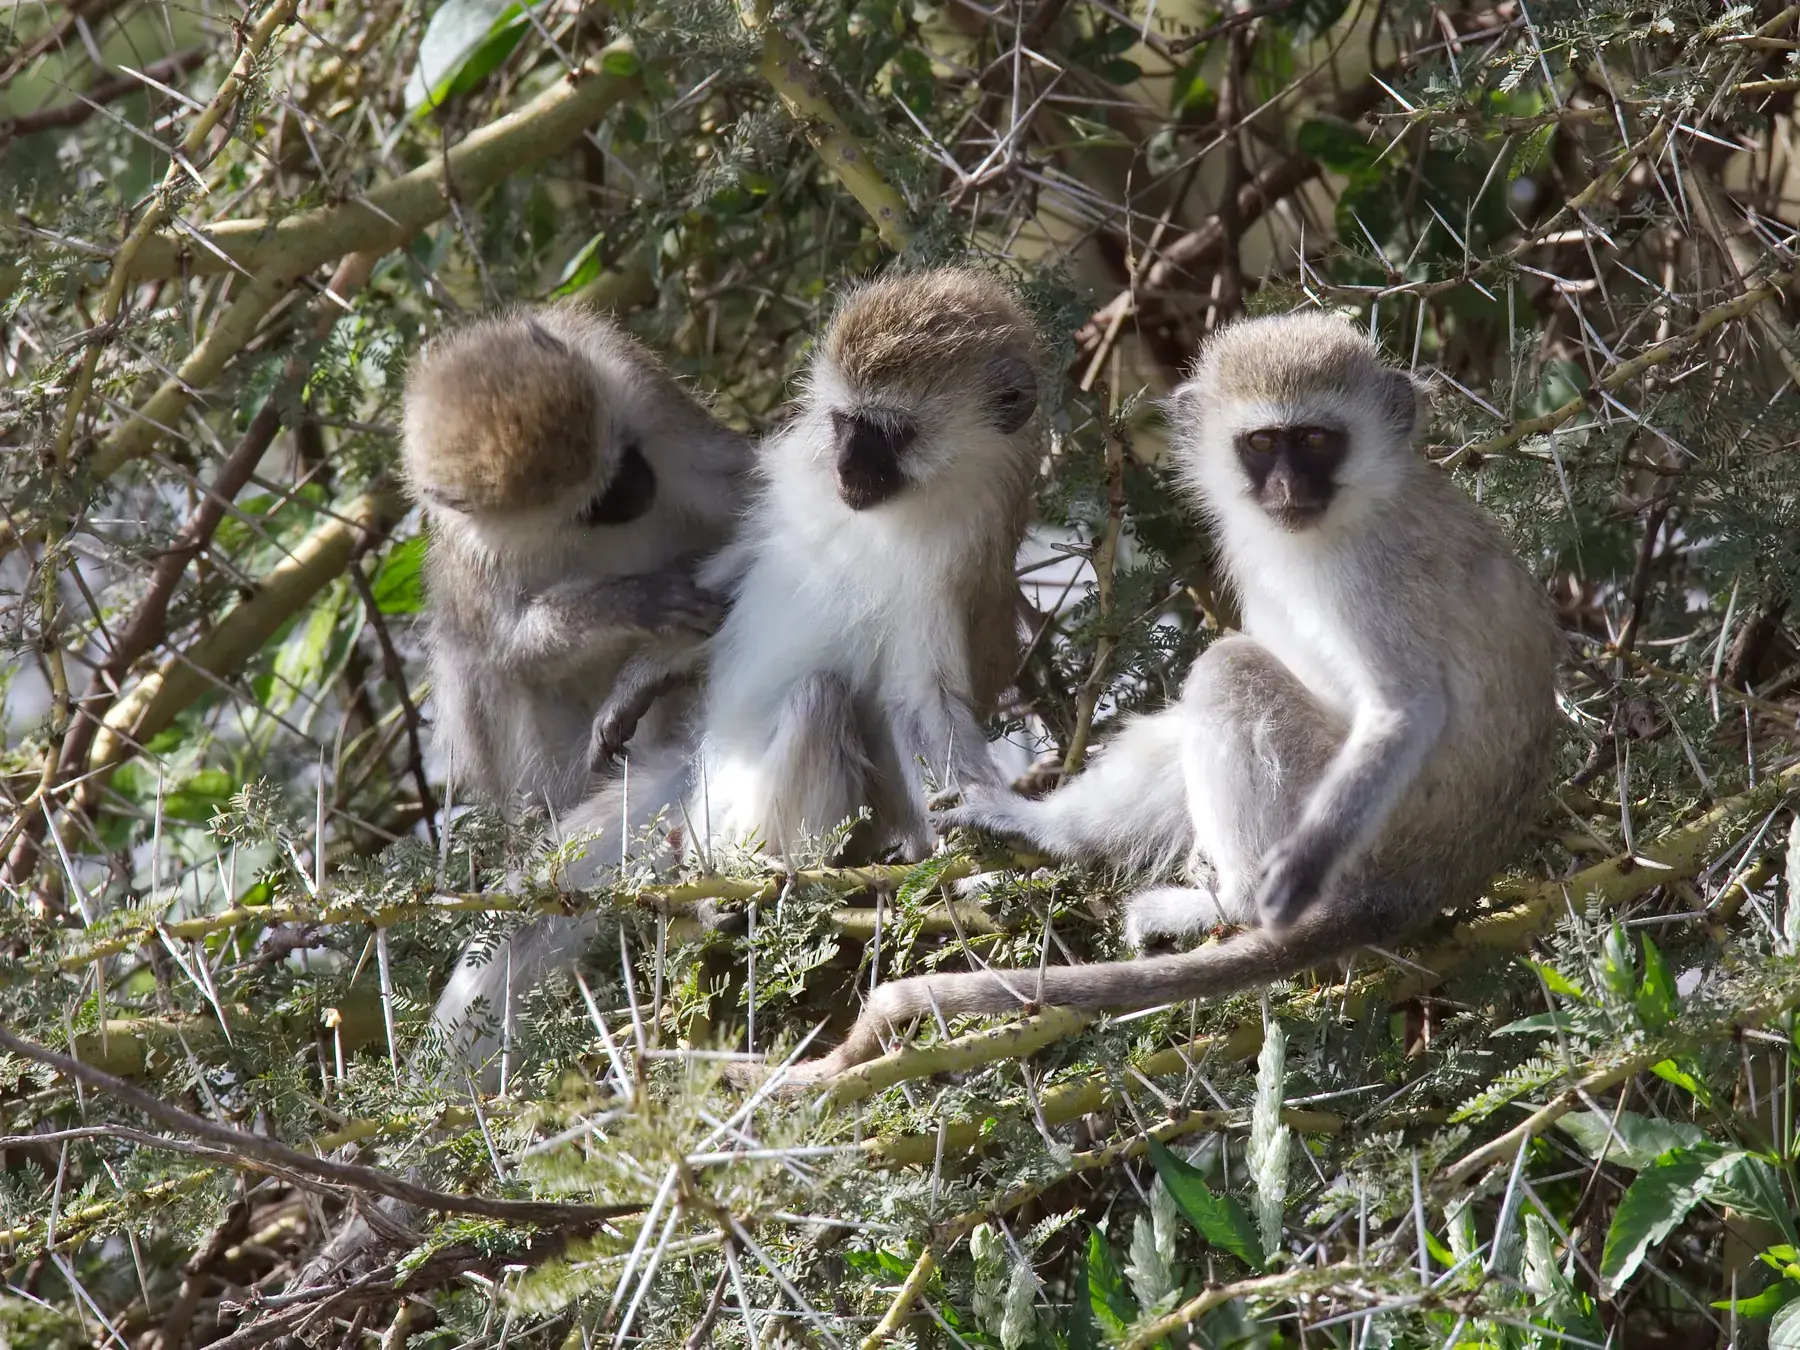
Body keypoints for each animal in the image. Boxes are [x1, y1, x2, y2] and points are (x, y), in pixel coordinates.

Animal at [402, 300, 752, 815]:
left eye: (624, 457)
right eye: (590, 505)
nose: (643, 489)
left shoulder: (638, 387)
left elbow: (747, 485)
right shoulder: (476, 555)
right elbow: (506, 644)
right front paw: (632, 602)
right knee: (476, 664)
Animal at [775, 310, 1565, 1083]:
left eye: (1316, 440)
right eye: (1262, 444)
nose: (1287, 492)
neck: (1340, 516)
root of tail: (1416, 887)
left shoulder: (1372, 572)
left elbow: (1407, 709)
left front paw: (1294, 869)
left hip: (1369, 845)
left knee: (1229, 669)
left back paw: (1238, 900)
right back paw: (1051, 831)